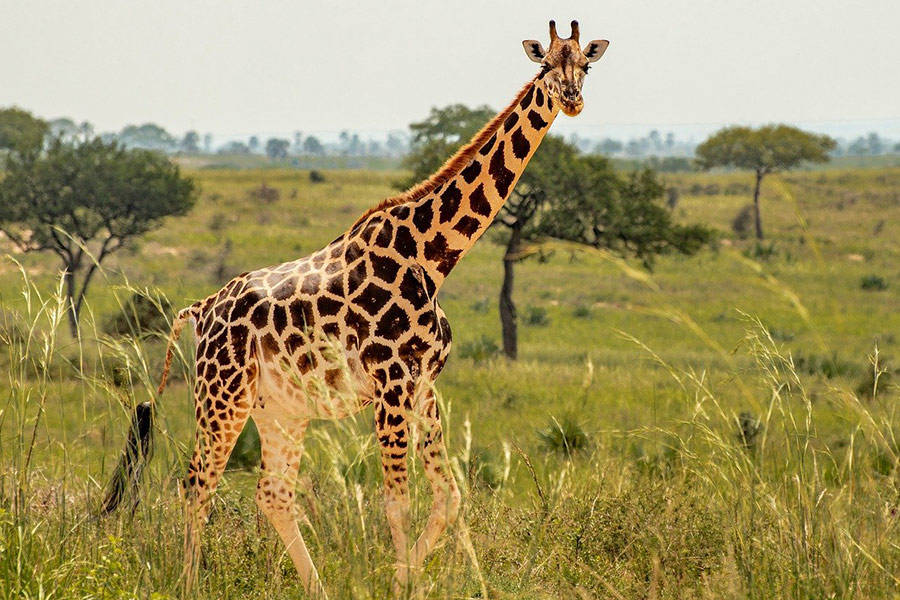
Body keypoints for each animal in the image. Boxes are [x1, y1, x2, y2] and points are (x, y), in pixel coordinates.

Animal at [103, 19, 608, 598]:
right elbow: (398, 503)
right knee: (196, 484)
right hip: (221, 395)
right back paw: (189, 583)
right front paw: (402, 583)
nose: (572, 99)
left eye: (585, 65)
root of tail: (200, 308)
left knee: (272, 493)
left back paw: (317, 587)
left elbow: (450, 497)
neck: (432, 255)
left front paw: (442, 581)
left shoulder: (423, 385)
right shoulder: (392, 381)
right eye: (545, 65)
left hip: (279, 409)